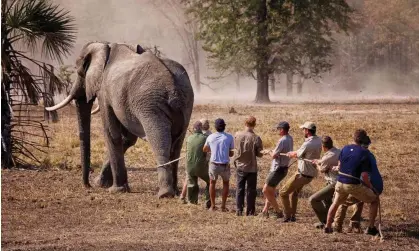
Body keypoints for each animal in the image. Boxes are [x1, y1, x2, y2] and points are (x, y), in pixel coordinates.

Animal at [46, 41, 195, 198]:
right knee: (176, 144)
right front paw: (101, 183)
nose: (87, 185)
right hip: (186, 104)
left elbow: (111, 133)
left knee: (159, 140)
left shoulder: (104, 92)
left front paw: (115, 189)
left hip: (151, 106)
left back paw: (164, 194)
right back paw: (176, 191)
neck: (106, 46)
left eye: (80, 72)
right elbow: (126, 138)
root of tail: (174, 86)